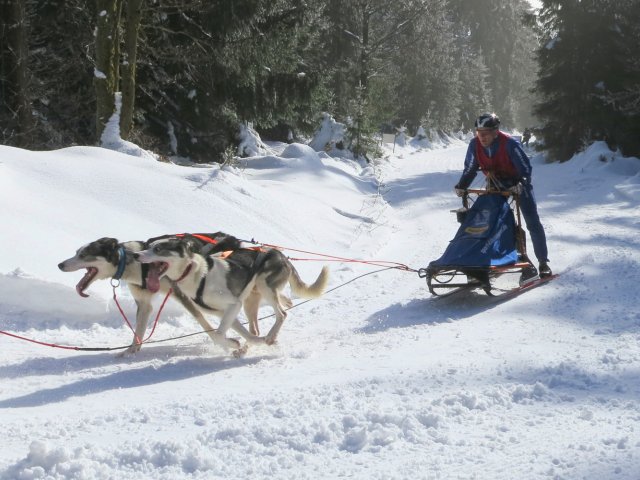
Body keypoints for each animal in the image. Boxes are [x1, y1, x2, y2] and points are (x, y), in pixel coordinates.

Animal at [57, 232, 262, 356]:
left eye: (84, 254)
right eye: (77, 252)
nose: (60, 264)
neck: (135, 264)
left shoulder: (183, 295)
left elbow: (206, 325)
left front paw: (227, 343)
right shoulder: (144, 303)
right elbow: (139, 331)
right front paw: (131, 351)